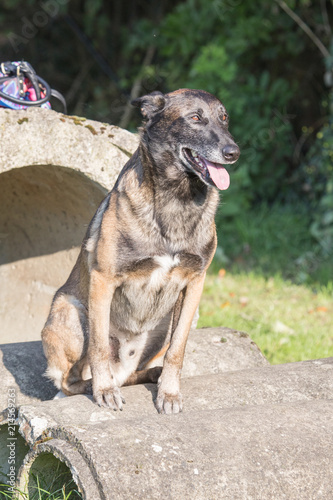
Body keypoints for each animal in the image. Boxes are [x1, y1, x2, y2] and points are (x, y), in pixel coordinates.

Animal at [40, 89, 239, 414]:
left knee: (131, 373)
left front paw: (168, 392)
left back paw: (151, 375)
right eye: (195, 118)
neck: (176, 201)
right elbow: (98, 349)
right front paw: (104, 390)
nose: (233, 152)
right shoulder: (103, 279)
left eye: (224, 118)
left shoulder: (195, 283)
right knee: (72, 380)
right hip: (71, 309)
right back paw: (100, 385)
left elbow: (177, 350)